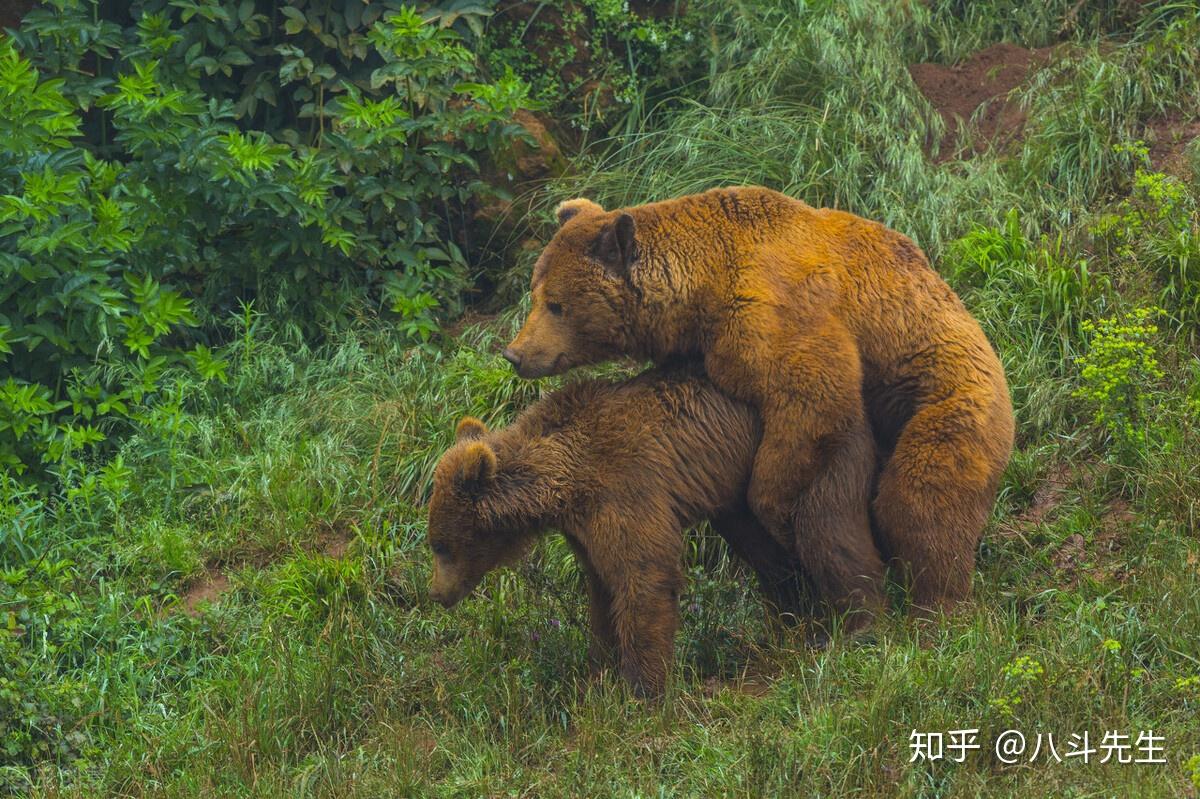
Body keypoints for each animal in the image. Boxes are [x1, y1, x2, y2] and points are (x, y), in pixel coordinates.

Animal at [426, 363, 825, 696]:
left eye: (439, 545)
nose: (436, 594)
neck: (564, 482)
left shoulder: (624, 488)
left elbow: (643, 575)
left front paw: (641, 689)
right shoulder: (584, 529)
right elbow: (602, 588)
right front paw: (597, 671)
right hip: (735, 493)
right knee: (761, 546)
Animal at [502, 186, 1015, 623]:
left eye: (556, 304)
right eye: (534, 292)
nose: (515, 353)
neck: (702, 287)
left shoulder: (771, 310)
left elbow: (810, 404)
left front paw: (779, 516)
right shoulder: (700, 347)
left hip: (944, 394)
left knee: (919, 496)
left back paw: (937, 609)